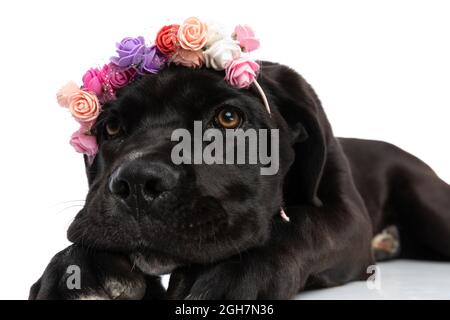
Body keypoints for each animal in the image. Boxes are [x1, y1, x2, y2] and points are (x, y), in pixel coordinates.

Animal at [29, 62, 450, 300]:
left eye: (229, 118)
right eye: (112, 127)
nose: (136, 182)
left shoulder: (346, 217)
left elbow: (299, 224)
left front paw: (228, 270)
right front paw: (78, 270)